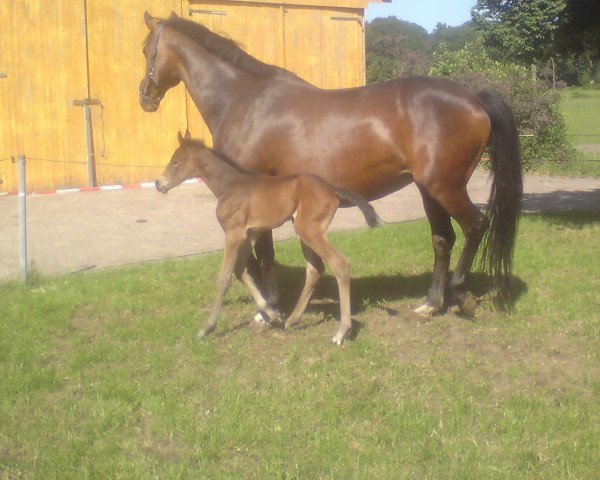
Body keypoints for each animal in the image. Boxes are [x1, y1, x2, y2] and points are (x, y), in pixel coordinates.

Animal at [155, 131, 380, 344]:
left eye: (176, 161)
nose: (158, 183)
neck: (230, 186)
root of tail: (332, 189)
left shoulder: (233, 232)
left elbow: (224, 277)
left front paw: (207, 328)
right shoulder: (251, 233)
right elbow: (240, 270)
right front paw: (272, 314)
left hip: (309, 230)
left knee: (340, 264)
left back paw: (341, 332)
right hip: (304, 231)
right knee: (315, 270)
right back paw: (292, 320)